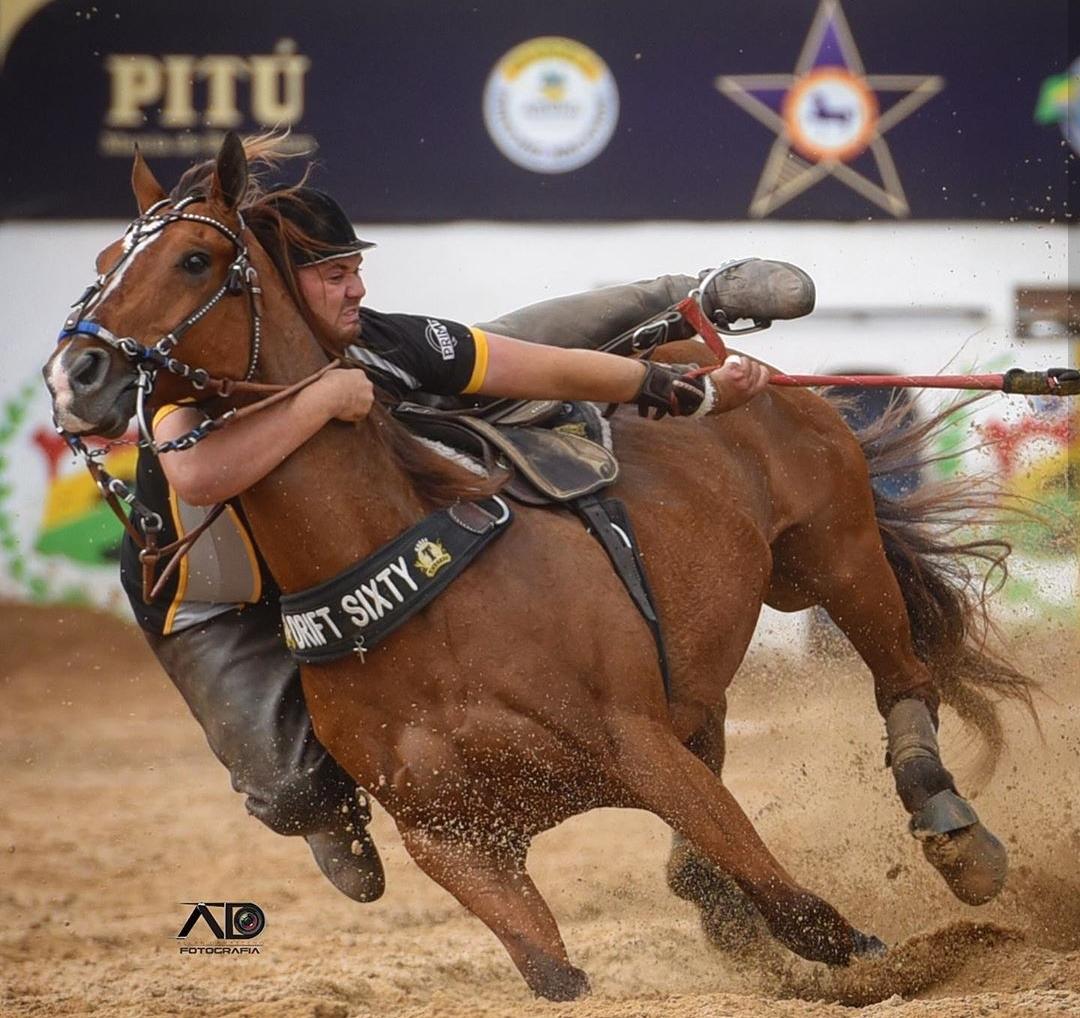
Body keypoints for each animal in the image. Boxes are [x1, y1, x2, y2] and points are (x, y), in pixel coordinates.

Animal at [42, 137, 1032, 1001]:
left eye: (194, 260)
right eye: (104, 257)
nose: (75, 374)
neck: (415, 585)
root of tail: (731, 362)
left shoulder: (637, 744)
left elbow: (812, 920)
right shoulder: (453, 841)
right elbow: (558, 973)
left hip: (837, 555)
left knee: (903, 681)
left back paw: (955, 834)